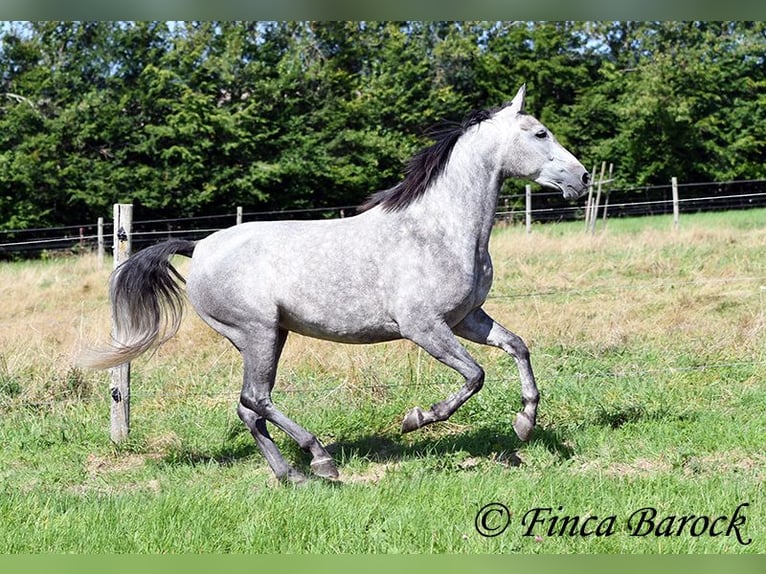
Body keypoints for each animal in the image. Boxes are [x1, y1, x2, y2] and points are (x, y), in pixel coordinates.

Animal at [81, 84, 592, 482]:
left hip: (265, 337)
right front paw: (416, 419)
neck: (440, 229)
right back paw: (321, 459)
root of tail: (200, 246)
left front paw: (525, 423)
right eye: (540, 133)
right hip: (258, 333)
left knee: (249, 407)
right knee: (255, 398)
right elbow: (475, 375)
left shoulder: (467, 318)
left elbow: (518, 346)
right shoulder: (423, 327)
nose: (583, 178)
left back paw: (292, 475)